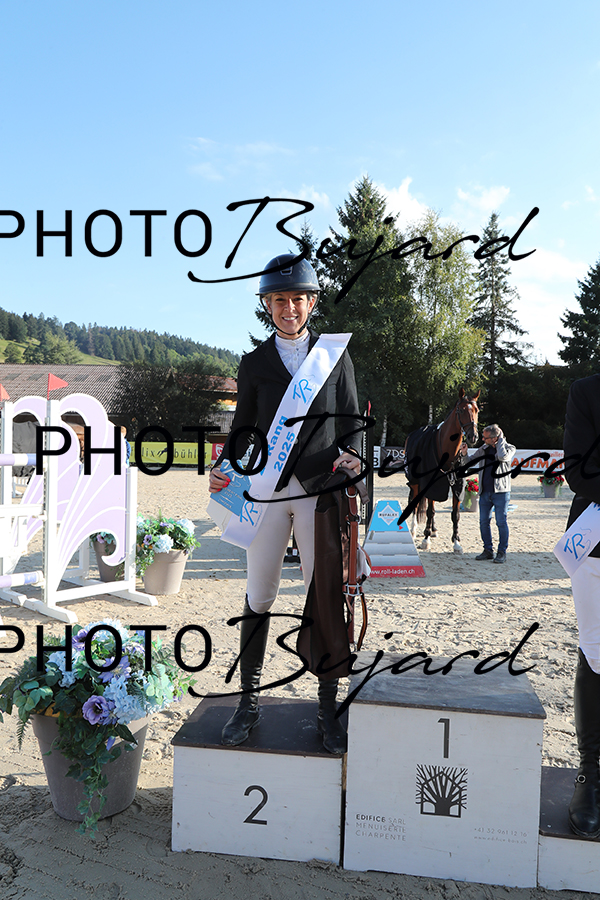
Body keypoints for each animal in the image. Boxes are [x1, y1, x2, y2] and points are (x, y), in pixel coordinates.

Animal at [404, 388, 480, 554]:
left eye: (476, 410)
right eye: (461, 410)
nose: (473, 436)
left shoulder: (457, 485)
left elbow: (455, 514)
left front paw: (456, 542)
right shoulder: (431, 484)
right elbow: (430, 511)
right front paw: (425, 540)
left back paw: (433, 529)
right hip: (414, 481)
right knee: (414, 502)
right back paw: (413, 530)